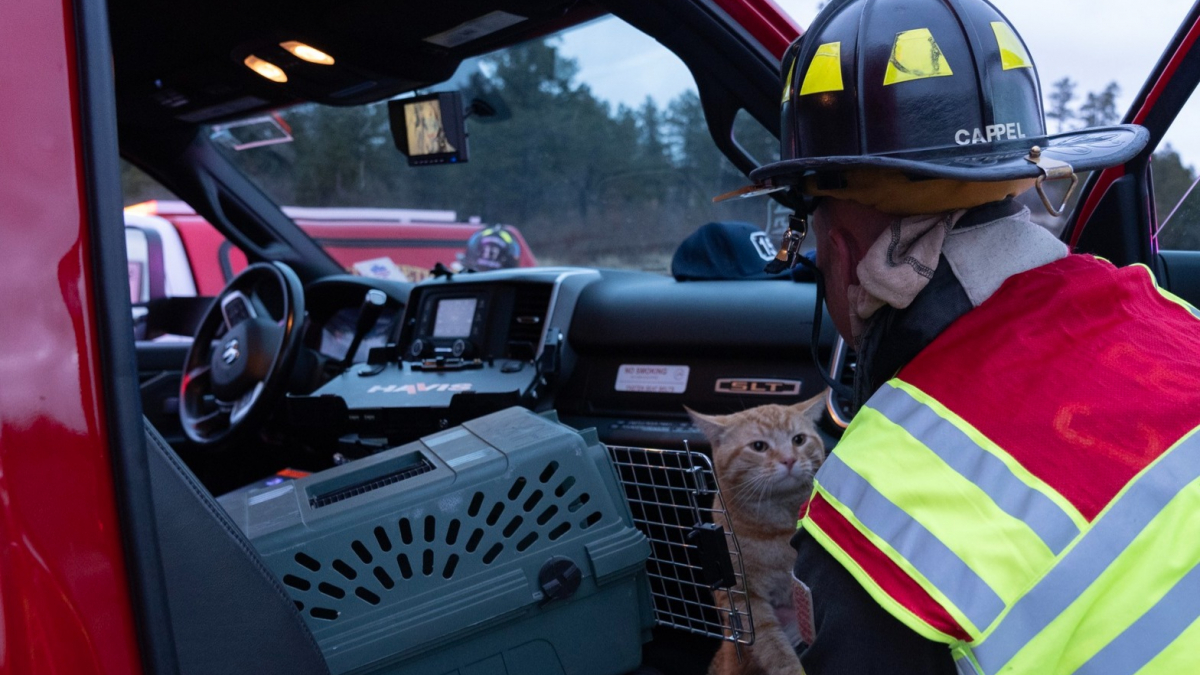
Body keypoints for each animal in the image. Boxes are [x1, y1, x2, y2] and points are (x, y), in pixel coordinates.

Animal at [686, 389, 825, 672]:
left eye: (798, 440)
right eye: (759, 446)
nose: (789, 459)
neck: (777, 527)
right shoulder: (745, 599)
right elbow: (774, 648)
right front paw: (792, 669)